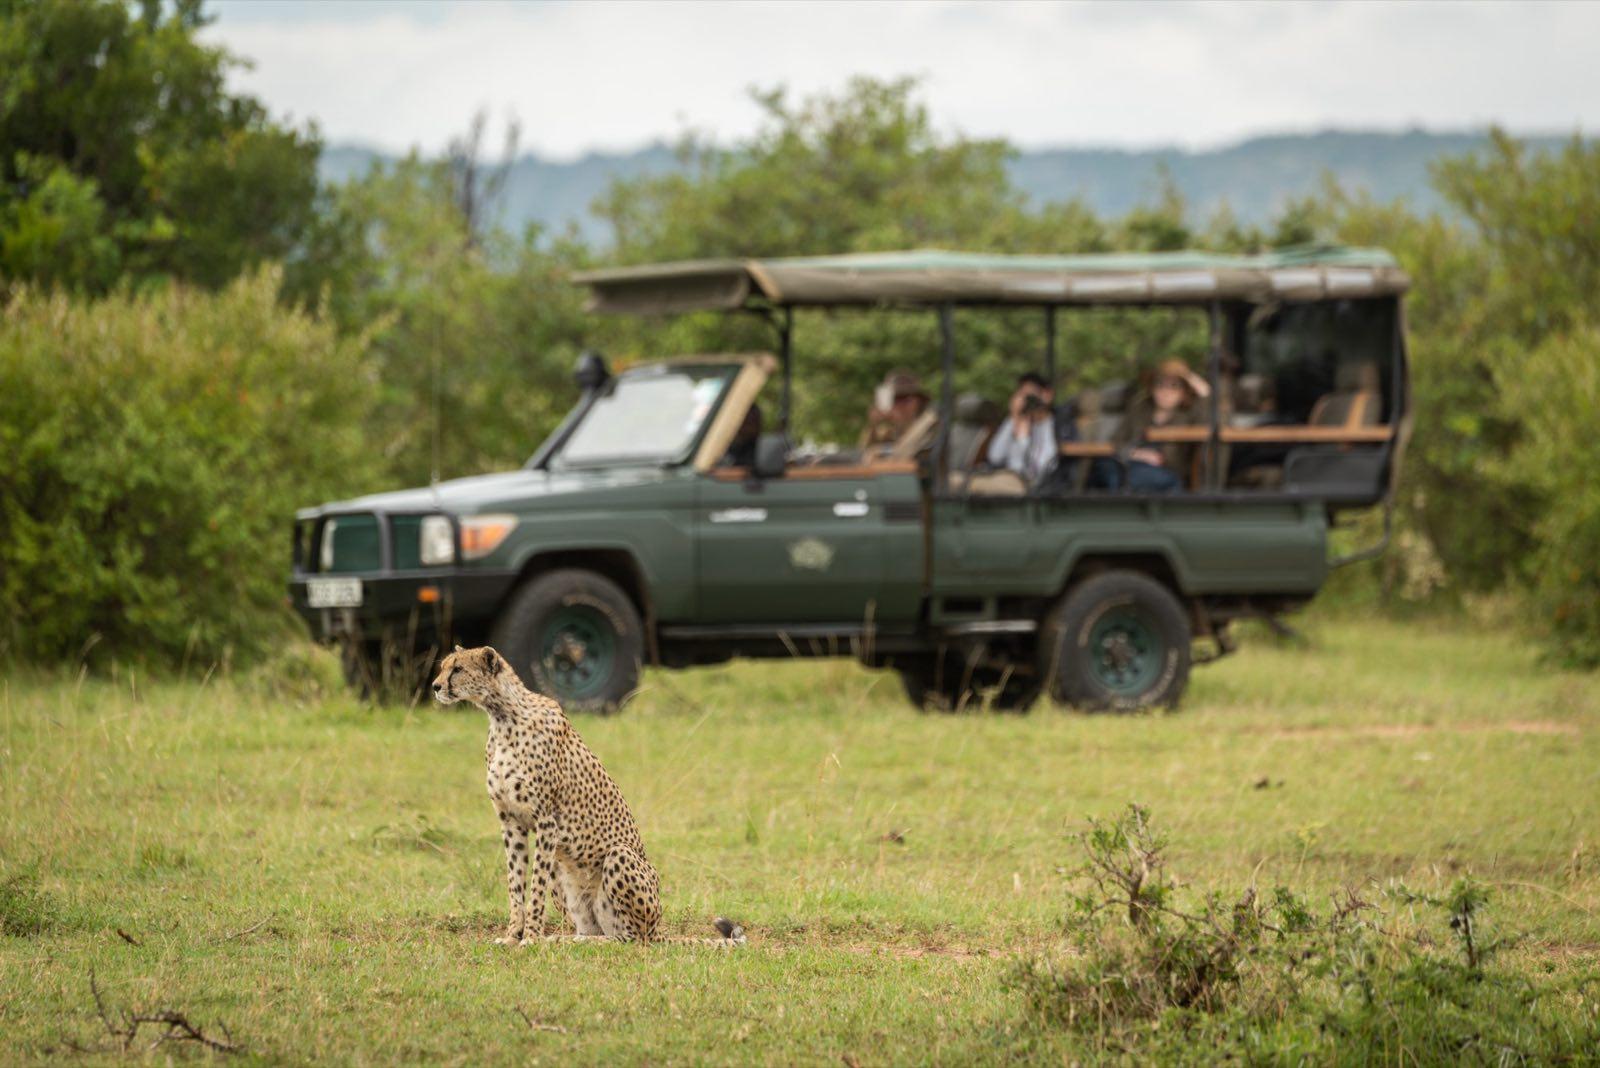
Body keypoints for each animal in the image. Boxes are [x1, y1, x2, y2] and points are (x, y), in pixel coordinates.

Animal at [431, 645, 745, 947]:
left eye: (458, 669)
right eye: (444, 666)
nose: (435, 686)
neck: (502, 714)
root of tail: (658, 929)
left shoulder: (546, 821)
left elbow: (534, 887)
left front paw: (530, 937)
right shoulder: (511, 822)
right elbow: (515, 884)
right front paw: (512, 936)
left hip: (619, 858)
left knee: (629, 939)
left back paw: (569, 940)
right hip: (564, 876)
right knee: (594, 929)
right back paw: (566, 939)